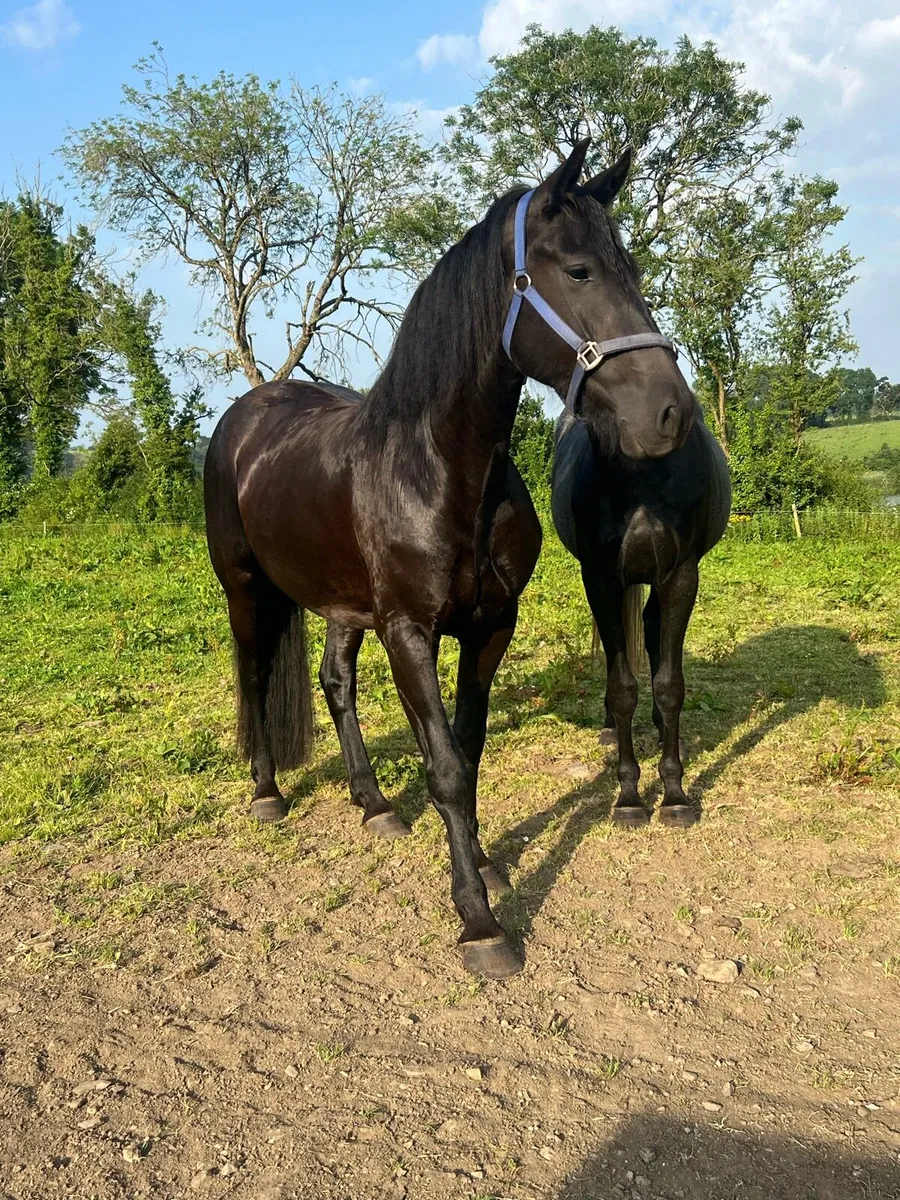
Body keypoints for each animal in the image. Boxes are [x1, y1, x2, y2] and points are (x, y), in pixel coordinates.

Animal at [203, 138, 692, 978]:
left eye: (629, 267)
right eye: (579, 271)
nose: (670, 412)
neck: (439, 467)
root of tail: (245, 416)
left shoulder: (490, 625)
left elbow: (468, 748)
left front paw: (487, 864)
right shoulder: (409, 633)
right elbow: (445, 767)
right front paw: (480, 921)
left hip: (341, 604)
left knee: (335, 684)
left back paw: (373, 804)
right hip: (246, 587)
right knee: (257, 675)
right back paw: (268, 793)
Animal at [551, 406, 731, 828]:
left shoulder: (680, 577)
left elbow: (669, 685)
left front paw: (675, 795)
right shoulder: (600, 580)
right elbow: (622, 688)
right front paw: (629, 797)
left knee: (651, 631)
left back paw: (662, 727)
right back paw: (610, 728)